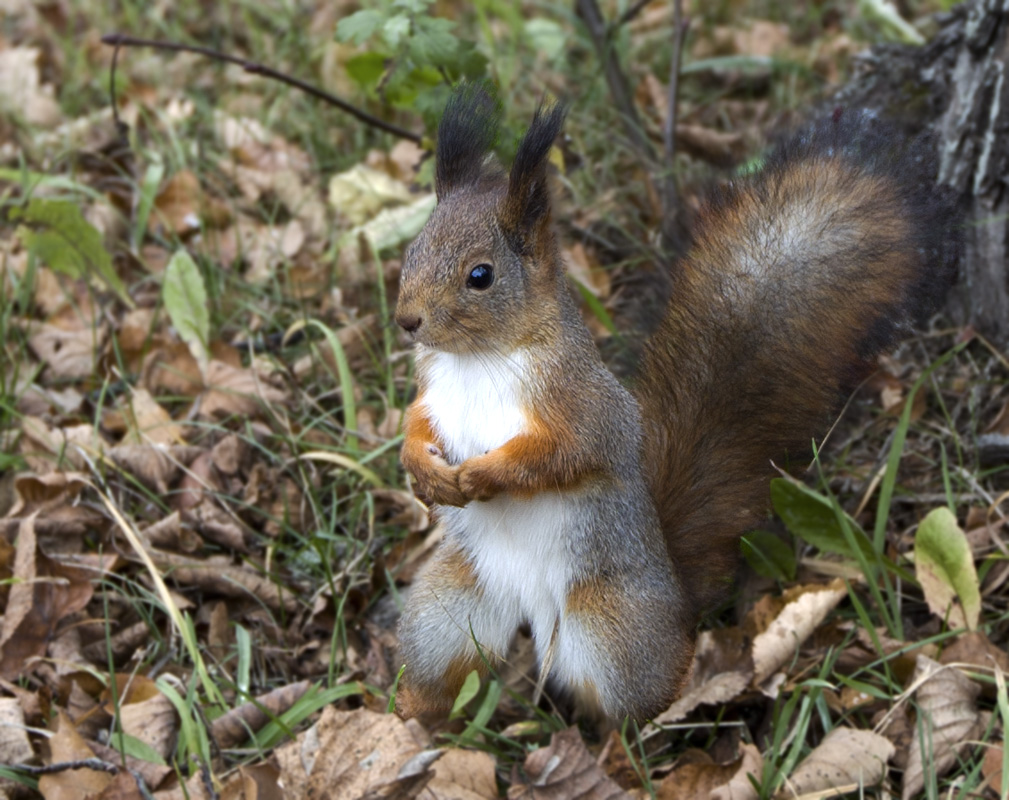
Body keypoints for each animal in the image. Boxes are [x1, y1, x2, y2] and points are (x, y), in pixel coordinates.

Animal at [389, 84, 956, 722]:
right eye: (412, 251)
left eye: (481, 276)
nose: (407, 320)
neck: (476, 361)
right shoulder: (433, 392)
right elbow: (415, 423)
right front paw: (422, 469)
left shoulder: (585, 405)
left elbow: (564, 454)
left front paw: (483, 474)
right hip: (448, 609)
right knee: (444, 665)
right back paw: (411, 713)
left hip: (611, 626)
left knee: (631, 700)